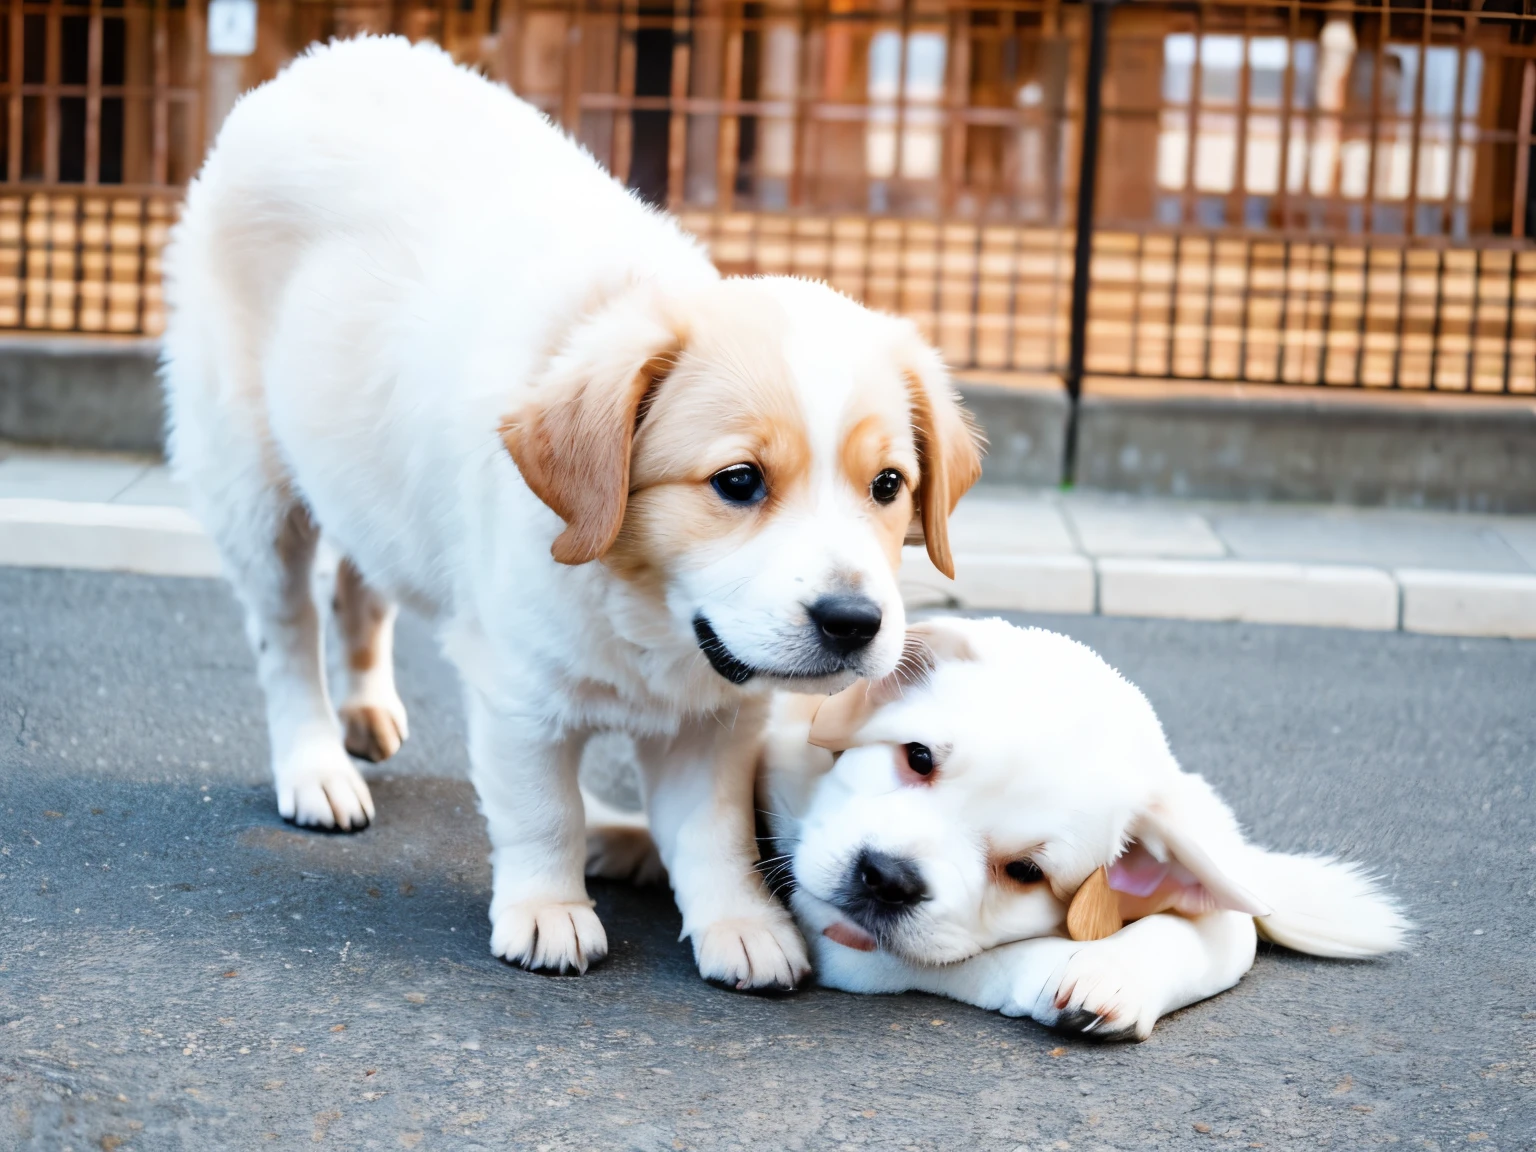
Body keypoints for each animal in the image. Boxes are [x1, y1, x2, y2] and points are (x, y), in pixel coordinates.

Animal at [162, 38, 976, 995]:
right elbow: (541, 808)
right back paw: (316, 763)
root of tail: (325, 56)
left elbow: (714, 831)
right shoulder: (518, 691)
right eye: (738, 482)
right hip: (252, 481)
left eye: (888, 486)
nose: (853, 623)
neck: (645, 607)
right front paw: (547, 908)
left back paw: (377, 714)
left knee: (360, 582)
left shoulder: (716, 715)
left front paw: (737, 921)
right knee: (285, 630)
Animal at [592, 623, 1406, 1038]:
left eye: (1024, 873)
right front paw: (1059, 967)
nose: (886, 878)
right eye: (917, 756)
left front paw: (1111, 970)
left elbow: (1205, 929)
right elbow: (963, 963)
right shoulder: (839, 939)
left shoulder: (1211, 886)